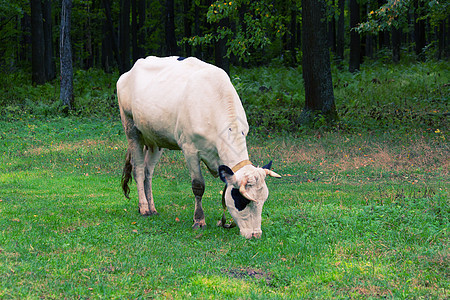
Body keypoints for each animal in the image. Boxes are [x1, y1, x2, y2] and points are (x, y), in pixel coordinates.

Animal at [118, 56, 280, 239]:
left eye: (263, 201)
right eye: (242, 200)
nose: (255, 234)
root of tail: (128, 72)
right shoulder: (190, 149)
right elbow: (198, 186)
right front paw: (199, 220)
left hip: (155, 139)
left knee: (148, 172)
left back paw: (152, 208)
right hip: (132, 129)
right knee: (138, 169)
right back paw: (144, 208)